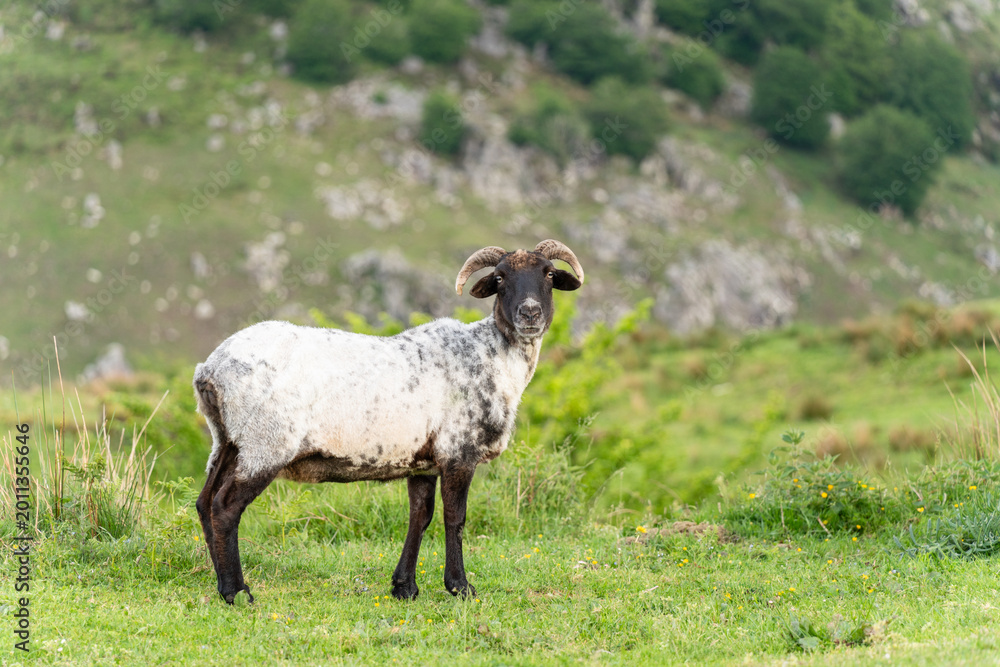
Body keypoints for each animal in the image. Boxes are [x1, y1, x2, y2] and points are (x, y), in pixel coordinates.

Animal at [193, 240, 584, 604]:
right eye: (500, 278)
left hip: (227, 440)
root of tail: (210, 369)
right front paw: (460, 586)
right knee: (225, 507)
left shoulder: (423, 461)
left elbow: (420, 516)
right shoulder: (458, 452)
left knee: (204, 501)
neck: (492, 356)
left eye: (550, 274)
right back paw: (237, 591)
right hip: (266, 443)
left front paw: (404, 587)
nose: (530, 313)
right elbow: (455, 517)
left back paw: (221, 582)